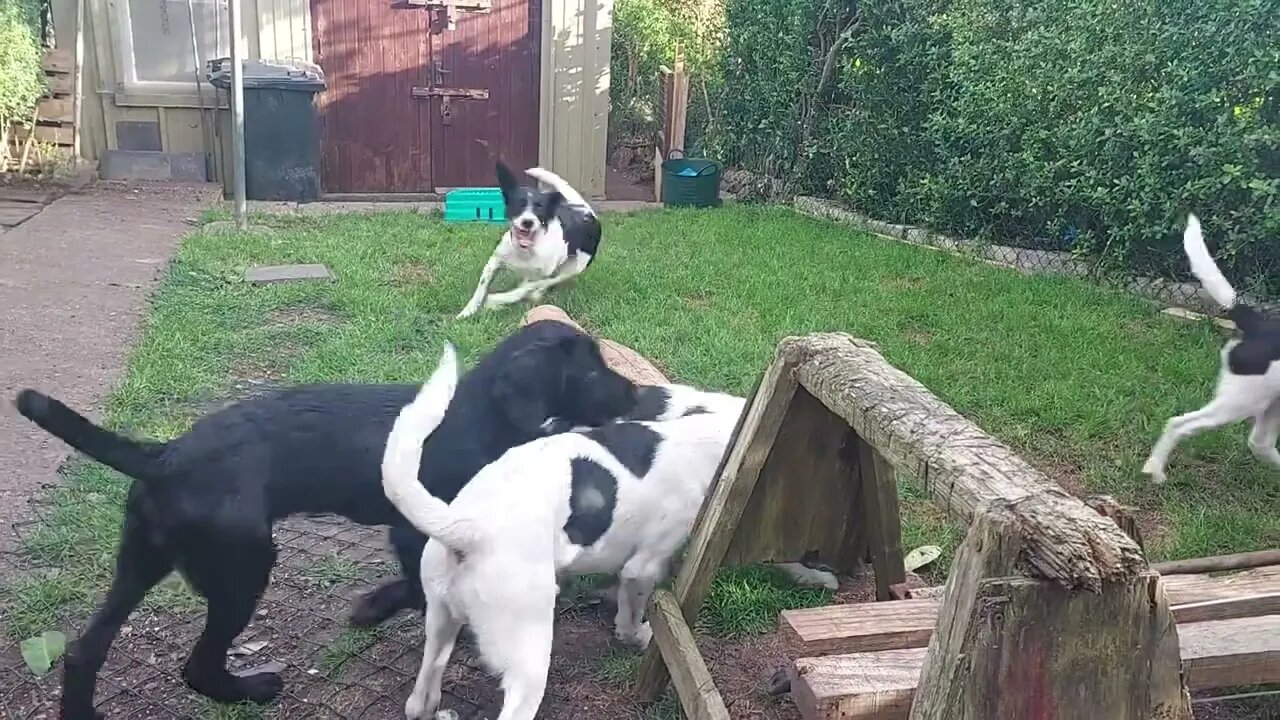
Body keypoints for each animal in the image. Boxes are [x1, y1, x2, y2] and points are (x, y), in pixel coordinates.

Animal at [12, 319, 640, 717]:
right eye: (589, 374)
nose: (636, 394)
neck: (480, 414)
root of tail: (165, 454)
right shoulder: (415, 529)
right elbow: (417, 588)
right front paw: (376, 609)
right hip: (243, 567)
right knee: (197, 665)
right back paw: (251, 690)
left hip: (142, 559)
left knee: (85, 648)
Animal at [378, 345, 747, 712]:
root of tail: (470, 529)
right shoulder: (642, 567)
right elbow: (631, 614)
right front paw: (638, 635)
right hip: (529, 656)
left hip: (440, 623)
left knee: (420, 700)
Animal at [458, 163, 601, 320]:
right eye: (519, 204)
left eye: (540, 207)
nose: (528, 222)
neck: (525, 250)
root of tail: (588, 212)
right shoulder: (495, 261)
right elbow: (482, 286)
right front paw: (468, 311)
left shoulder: (541, 275)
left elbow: (523, 289)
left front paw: (495, 301)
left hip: (573, 268)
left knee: (546, 282)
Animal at [1141, 212, 1280, 481]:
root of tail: (1258, 324)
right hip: (1241, 401)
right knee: (1179, 423)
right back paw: (1155, 469)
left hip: (1270, 402)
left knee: (1260, 444)